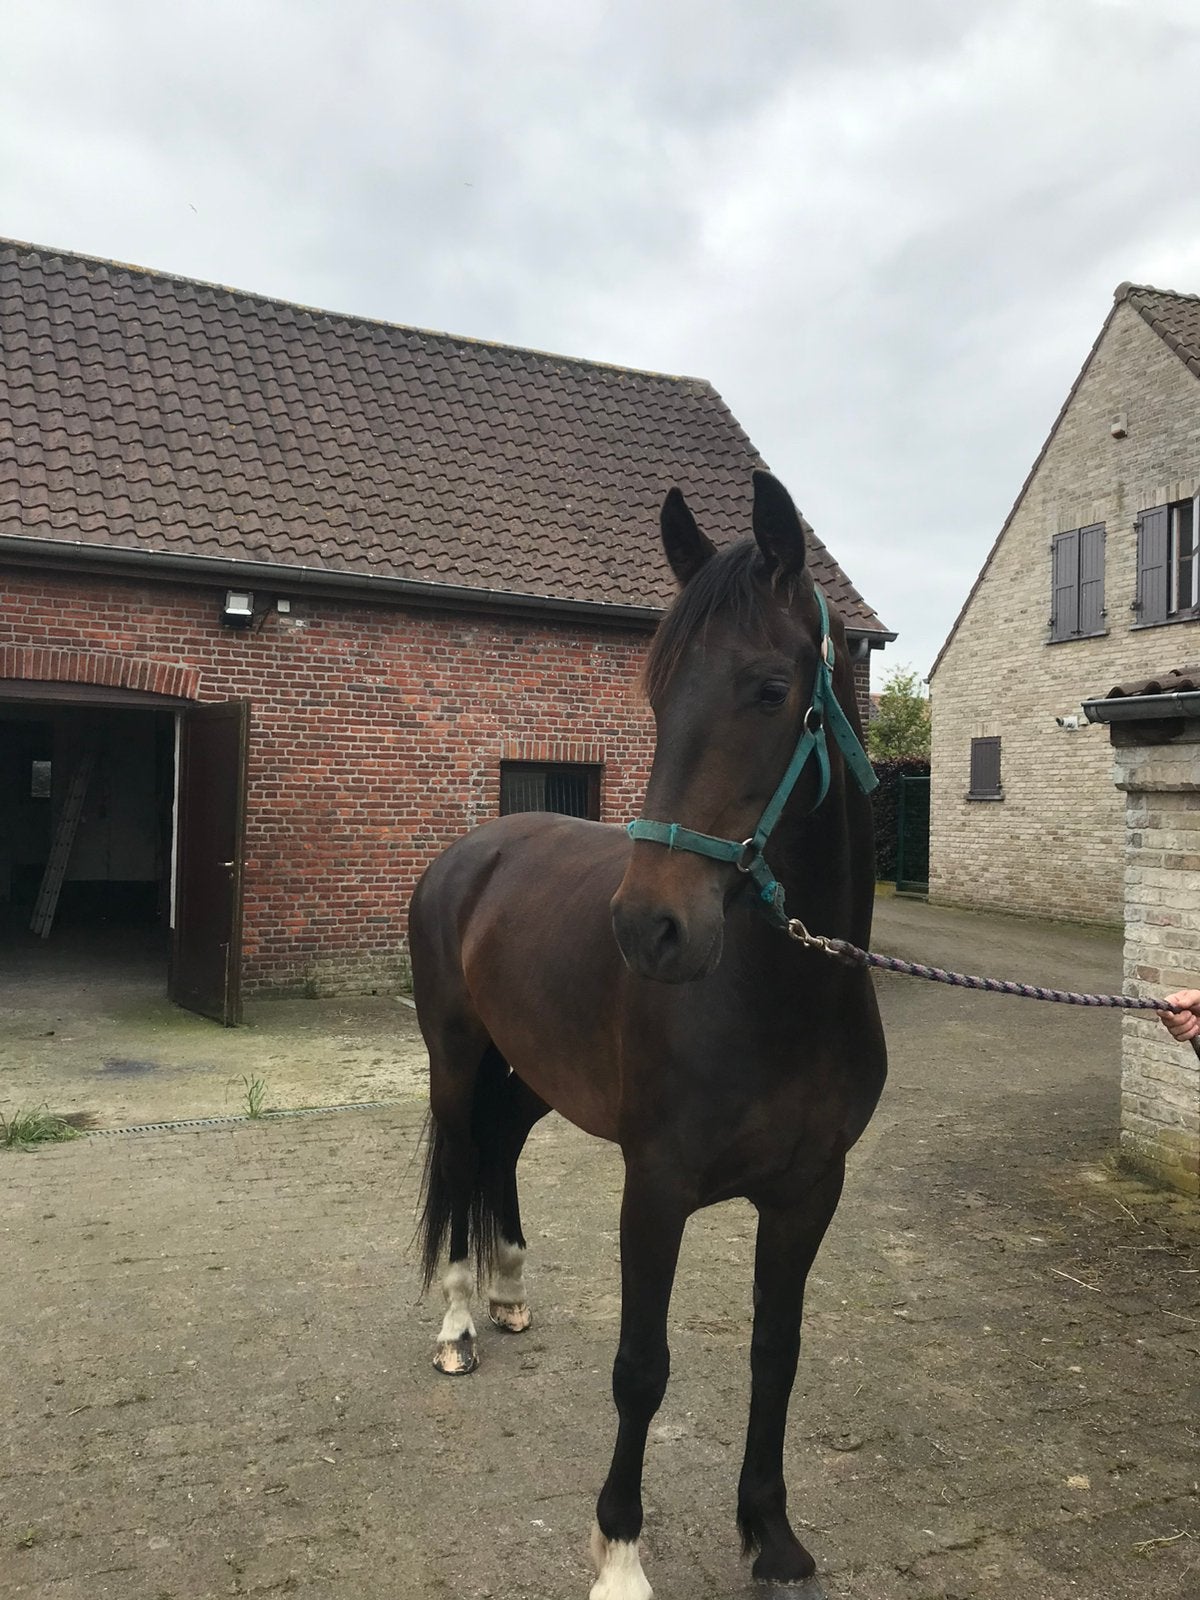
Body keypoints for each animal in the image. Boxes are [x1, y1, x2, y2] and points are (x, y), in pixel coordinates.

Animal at [409, 470, 887, 1599]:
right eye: (656, 693)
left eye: (769, 688)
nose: (650, 929)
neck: (784, 999)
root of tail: (472, 850)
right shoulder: (656, 1184)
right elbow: (642, 1367)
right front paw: (621, 1552)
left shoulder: (810, 1192)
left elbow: (776, 1353)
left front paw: (772, 1537)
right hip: (455, 1056)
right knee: (460, 1160)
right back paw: (457, 1322)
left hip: (531, 1073)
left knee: (497, 1149)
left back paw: (508, 1292)